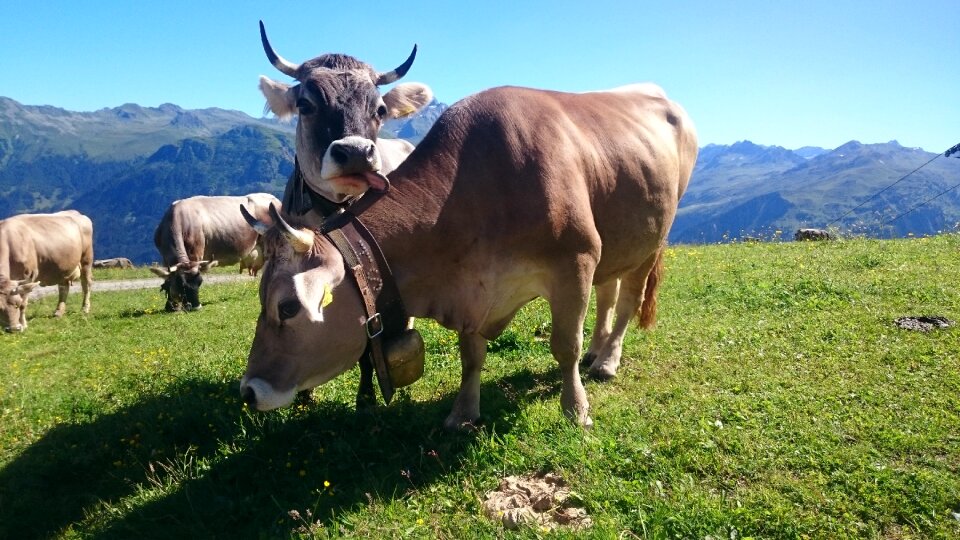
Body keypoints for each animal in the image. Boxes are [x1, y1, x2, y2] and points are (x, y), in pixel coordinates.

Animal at [148, 194, 280, 312]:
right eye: (183, 285)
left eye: (200, 283)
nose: (197, 307)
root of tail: (275, 200)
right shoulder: (165, 257)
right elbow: (168, 279)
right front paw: (171, 306)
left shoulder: (196, 254)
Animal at [240, 84, 696, 430]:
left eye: (287, 307)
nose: (248, 391)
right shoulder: (471, 290)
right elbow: (471, 356)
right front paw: (463, 414)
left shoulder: (577, 259)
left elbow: (565, 345)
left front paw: (576, 409)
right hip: (619, 240)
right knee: (607, 294)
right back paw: (597, 352)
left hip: (653, 239)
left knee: (627, 302)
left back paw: (607, 361)